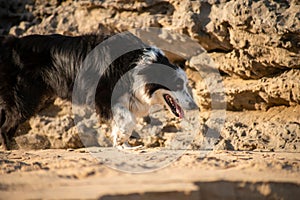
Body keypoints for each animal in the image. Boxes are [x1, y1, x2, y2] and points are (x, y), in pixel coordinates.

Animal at [0, 33, 199, 150]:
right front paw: (121, 143)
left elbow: (124, 121)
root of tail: (9, 45)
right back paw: (11, 150)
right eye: (177, 84)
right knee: (7, 126)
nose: (195, 106)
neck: (140, 64)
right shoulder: (104, 96)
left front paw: (124, 144)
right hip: (25, 98)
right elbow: (126, 119)